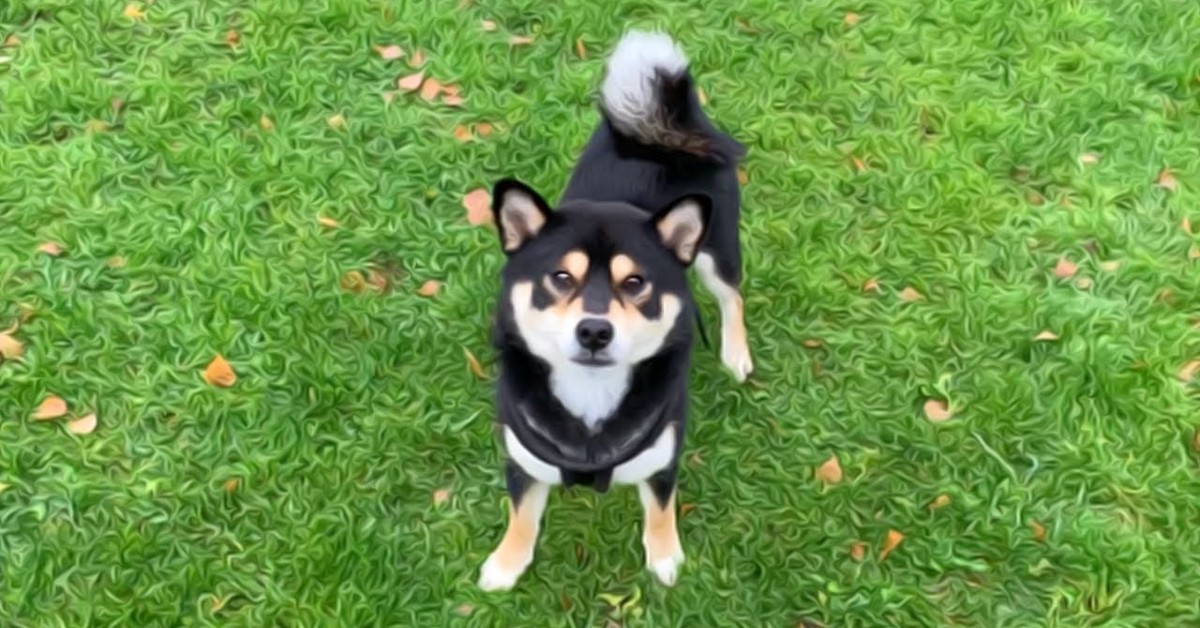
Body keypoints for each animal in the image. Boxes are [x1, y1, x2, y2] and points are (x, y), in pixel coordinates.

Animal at [477, 29, 748, 593]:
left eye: (635, 282)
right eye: (561, 278)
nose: (595, 332)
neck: (590, 400)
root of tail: (658, 132)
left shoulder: (663, 459)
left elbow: (661, 510)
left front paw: (664, 556)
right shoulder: (523, 462)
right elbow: (521, 515)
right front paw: (507, 563)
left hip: (717, 250)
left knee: (732, 295)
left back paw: (736, 354)